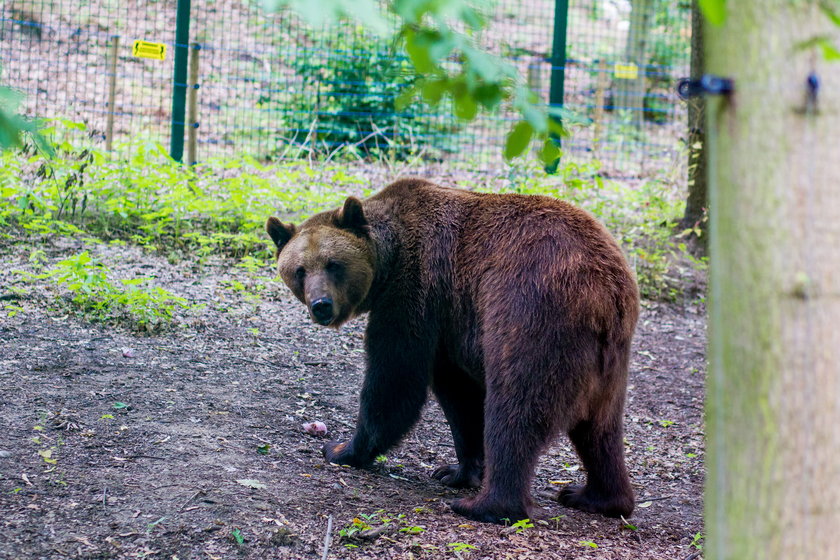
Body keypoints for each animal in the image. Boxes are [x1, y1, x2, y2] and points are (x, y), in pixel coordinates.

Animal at [266, 179, 640, 524]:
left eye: (333, 263)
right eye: (299, 270)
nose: (321, 305)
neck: (389, 258)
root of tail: (605, 291)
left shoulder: (417, 291)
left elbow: (395, 379)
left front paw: (342, 449)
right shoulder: (449, 325)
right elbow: (459, 398)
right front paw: (456, 471)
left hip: (532, 314)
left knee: (516, 409)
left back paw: (488, 505)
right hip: (608, 362)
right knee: (600, 430)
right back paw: (595, 497)